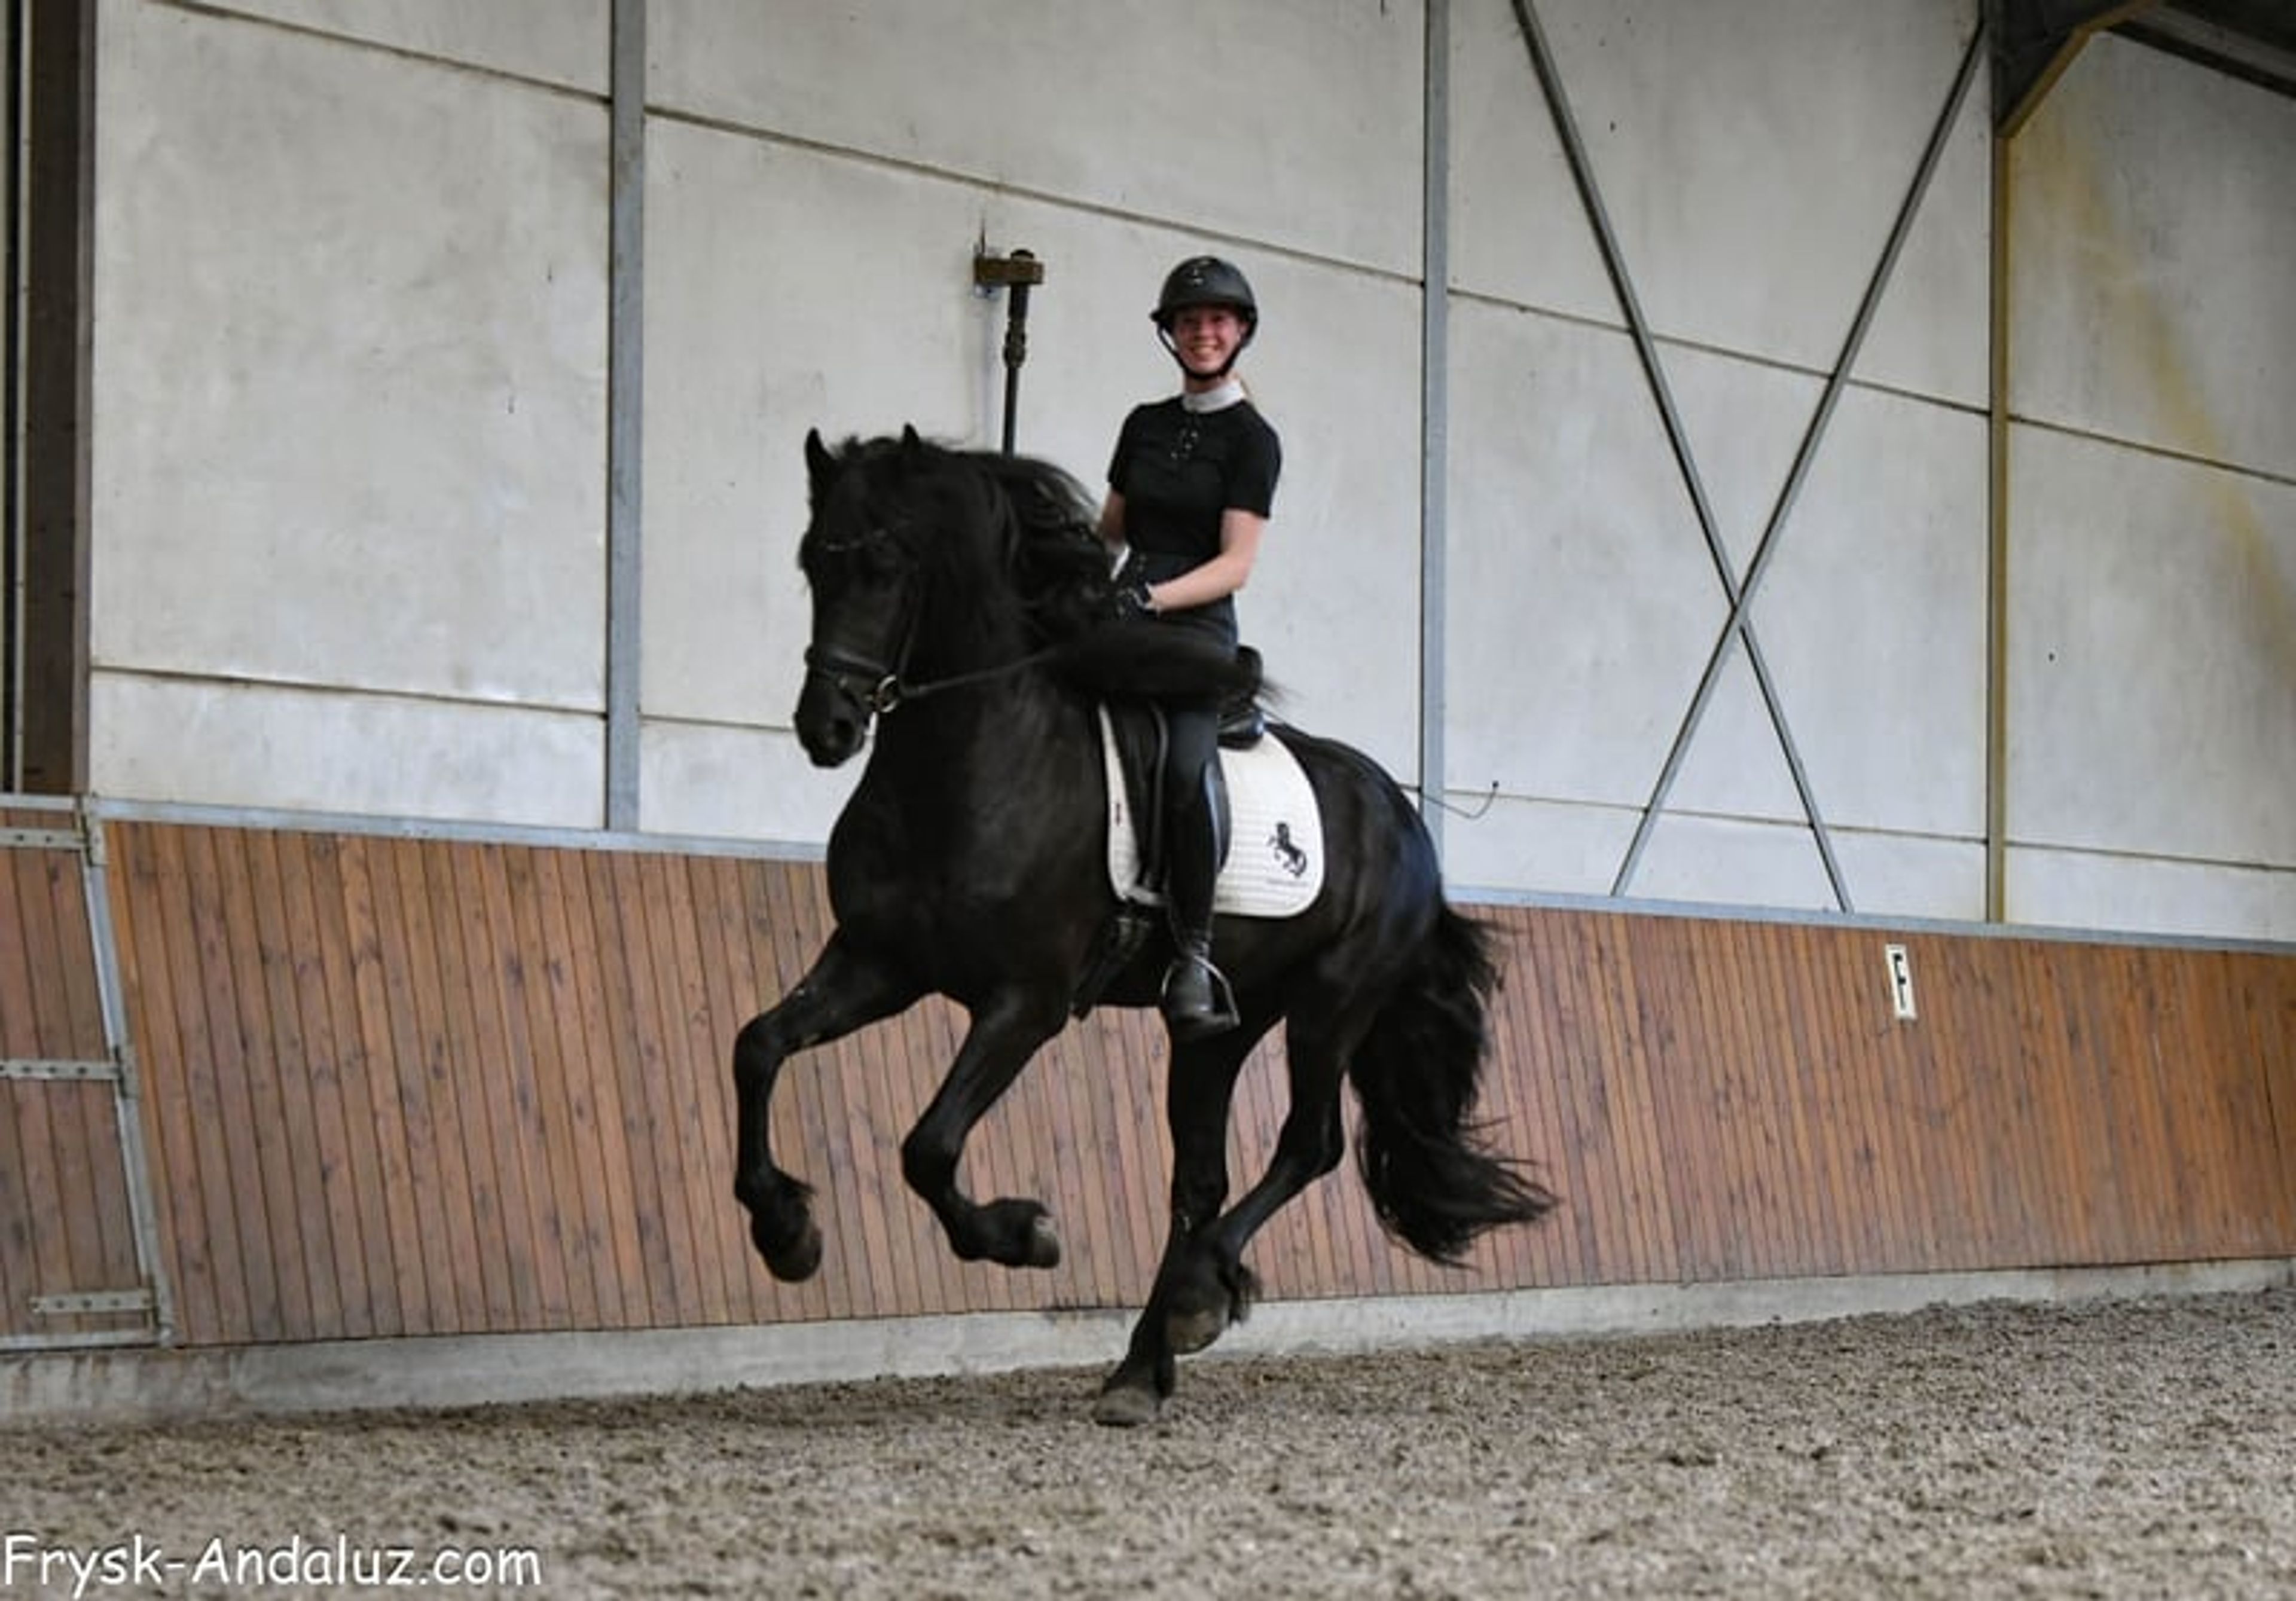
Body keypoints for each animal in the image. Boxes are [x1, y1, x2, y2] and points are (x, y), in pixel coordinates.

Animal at [731, 426, 1556, 1426]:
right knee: (1197, 1176)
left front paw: (1026, 1234)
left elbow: (927, 1146)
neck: (967, 762)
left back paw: (1200, 1295)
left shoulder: (1026, 1002)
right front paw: (786, 1232)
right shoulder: (878, 963)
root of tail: (1403, 819)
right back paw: (1140, 1367)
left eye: (887, 564)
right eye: (814, 563)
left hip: (1333, 1004)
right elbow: (758, 1045)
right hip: (1220, 1027)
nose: (829, 727)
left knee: (1306, 1146)